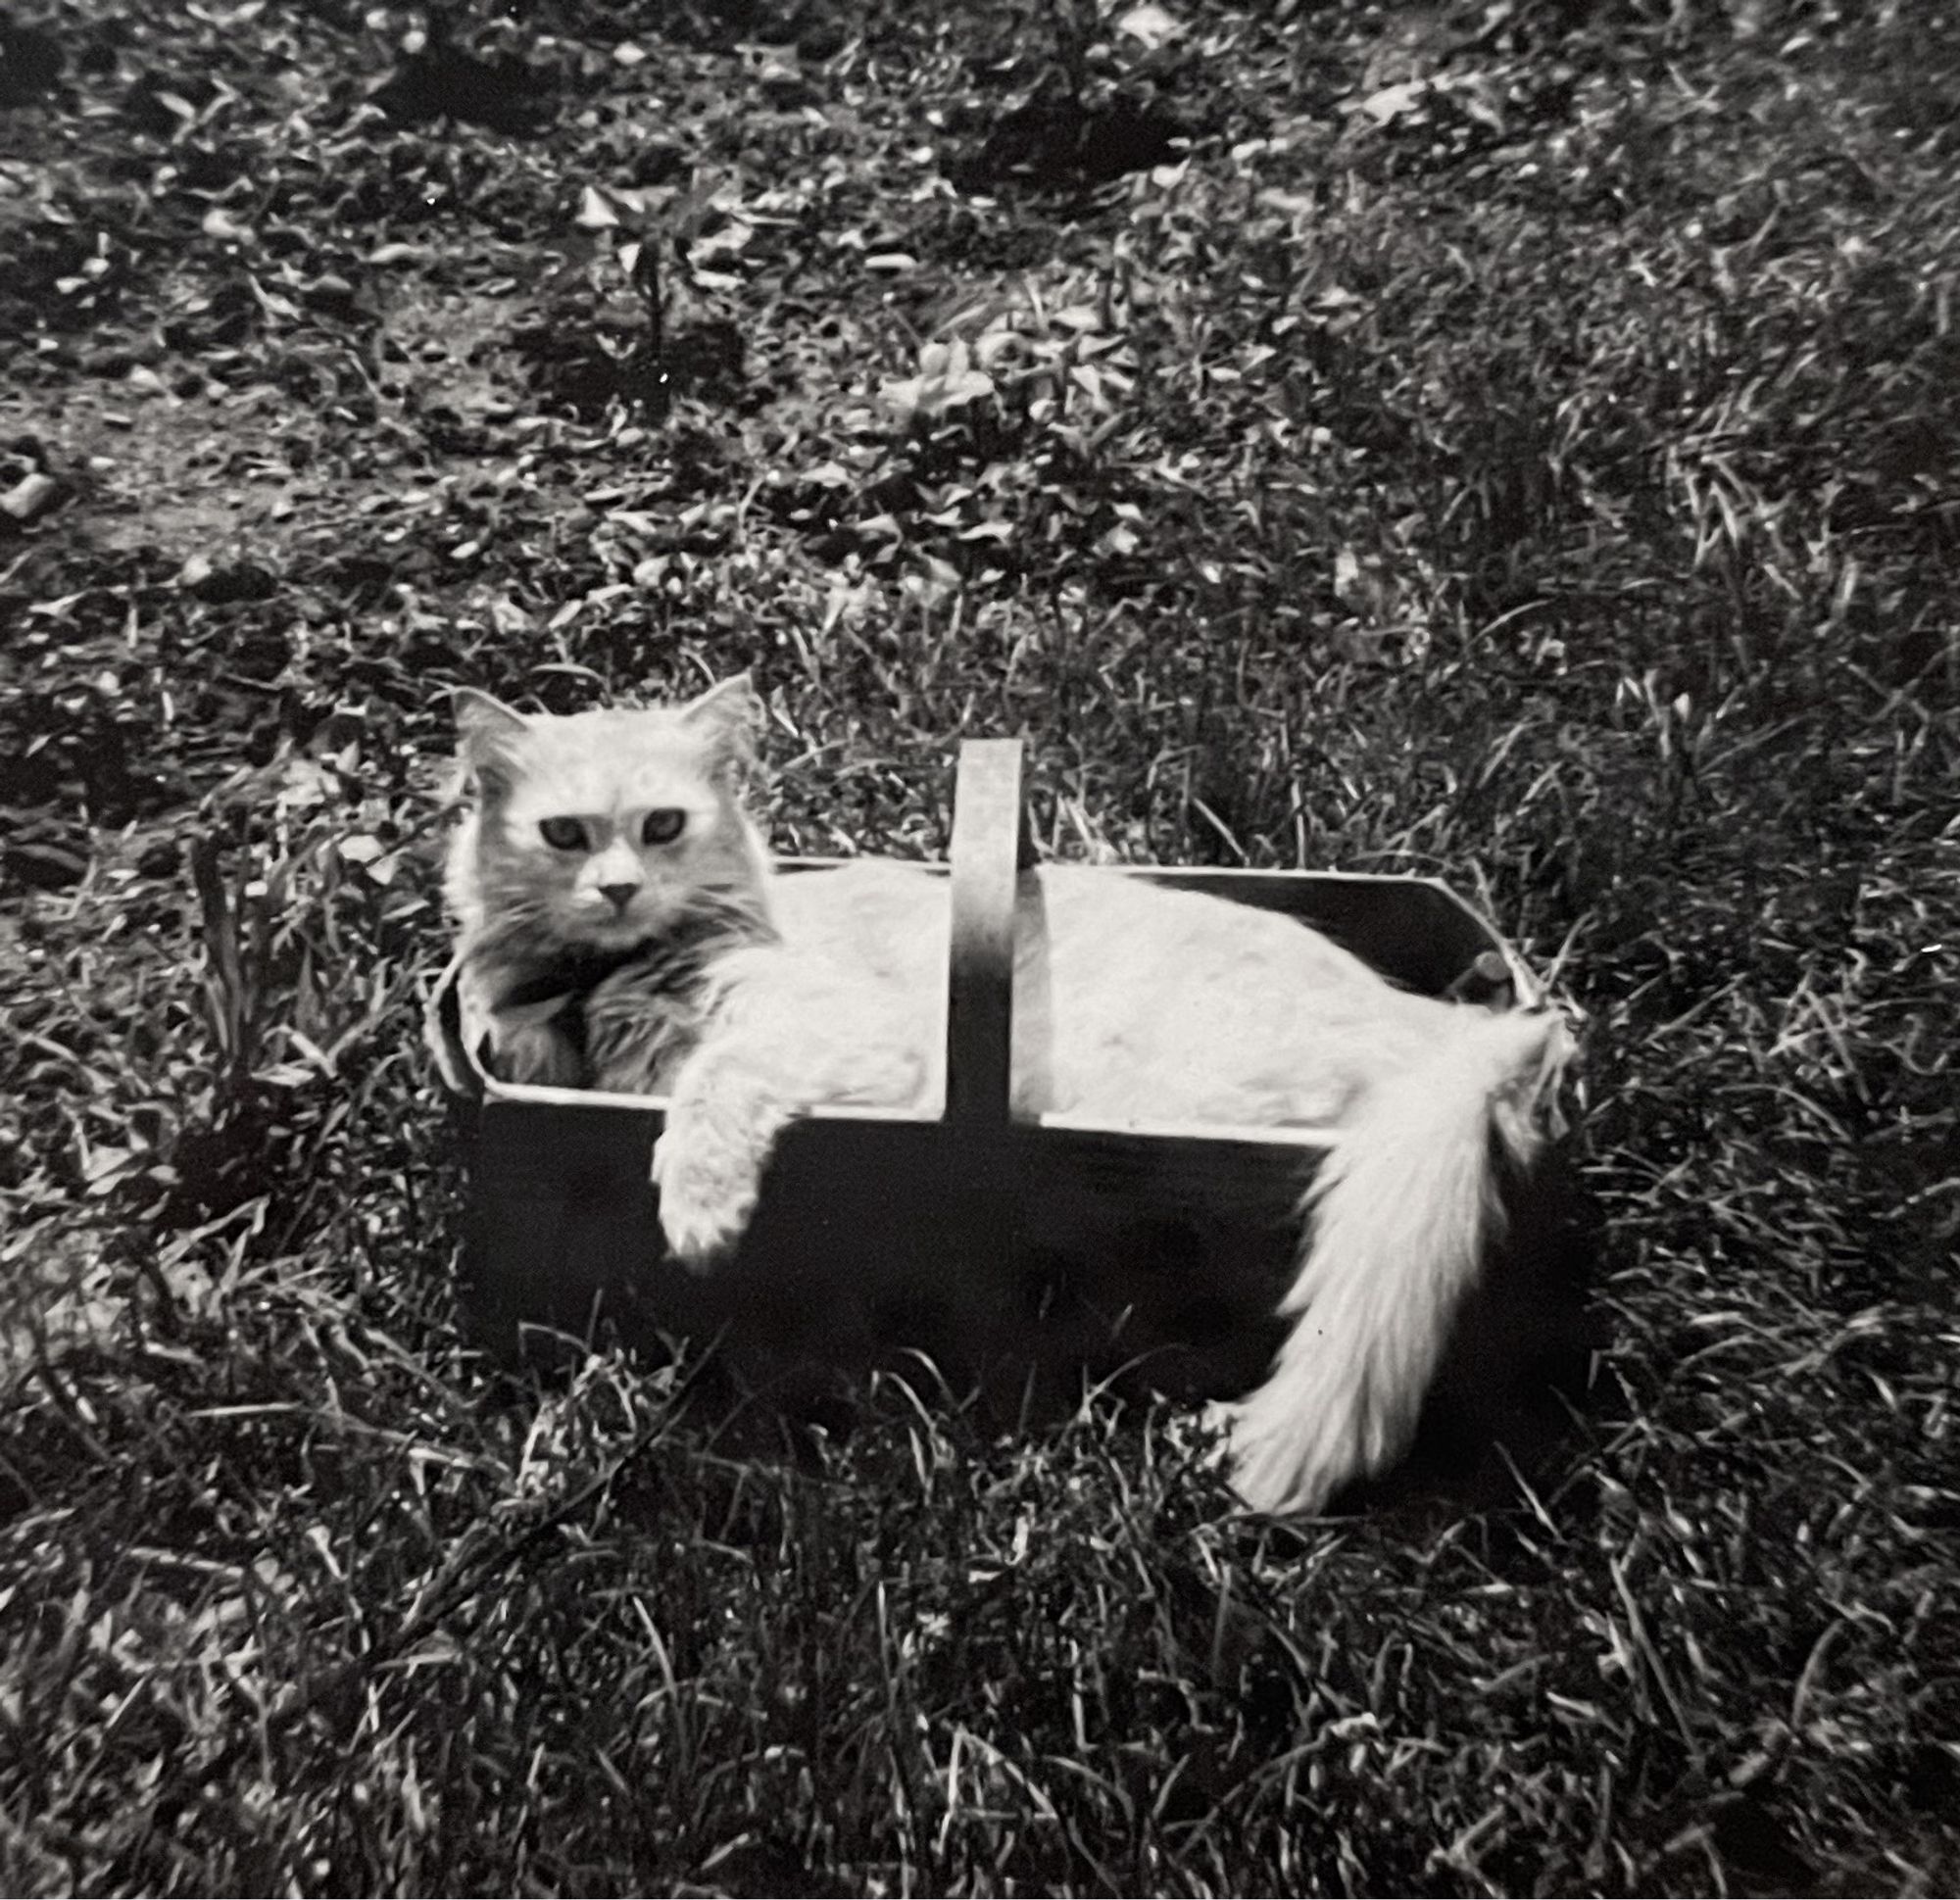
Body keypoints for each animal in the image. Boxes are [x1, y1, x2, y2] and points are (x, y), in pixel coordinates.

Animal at [437, 673, 1568, 1520]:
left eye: (663, 826)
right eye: (566, 835)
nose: (619, 889)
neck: (606, 985)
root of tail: (1472, 1037)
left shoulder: (833, 1034)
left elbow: (714, 1083)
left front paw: (698, 1213)